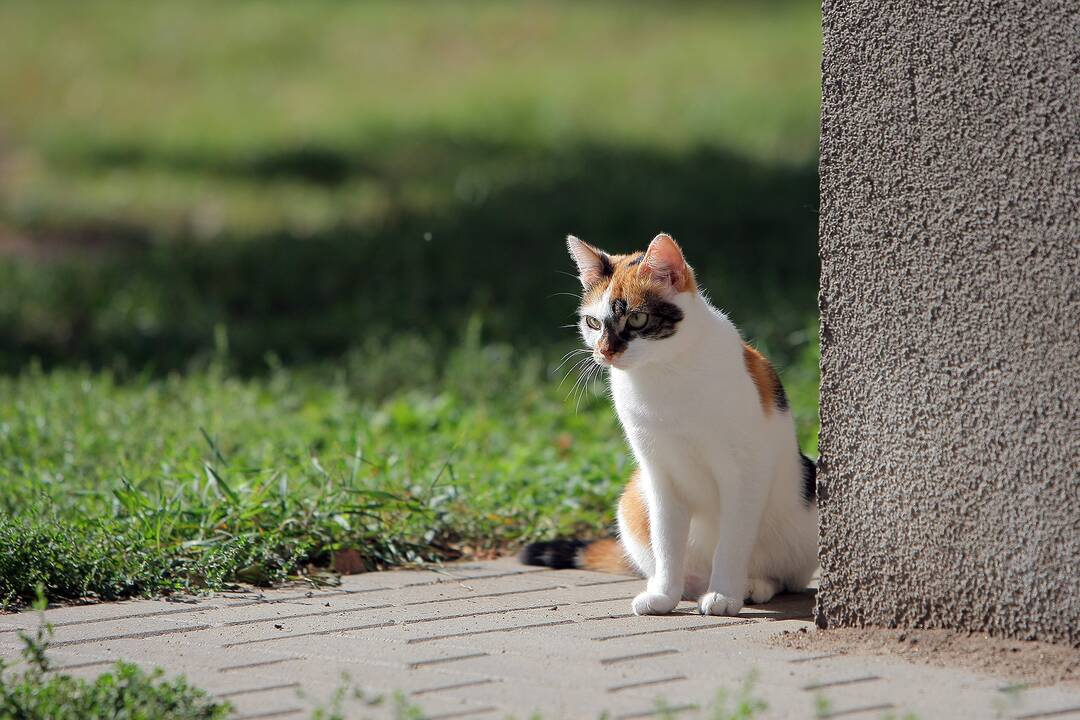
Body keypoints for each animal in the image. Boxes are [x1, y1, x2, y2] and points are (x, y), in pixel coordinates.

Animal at [522, 234, 816, 617]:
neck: (663, 373)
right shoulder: (659, 474)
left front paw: (724, 595)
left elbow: (732, 541)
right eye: (593, 323)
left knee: (783, 577)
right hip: (634, 497)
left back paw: (750, 586)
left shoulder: (745, 472)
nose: (605, 352)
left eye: (637, 318)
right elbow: (665, 541)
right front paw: (664, 594)